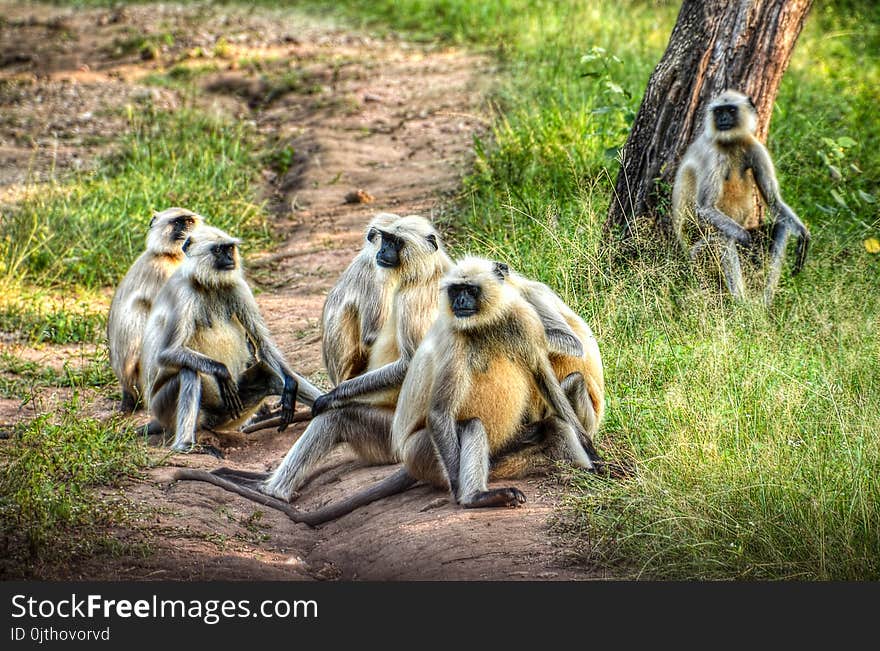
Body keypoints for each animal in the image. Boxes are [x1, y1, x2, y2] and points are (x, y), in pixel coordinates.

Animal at [107, 209, 204, 412]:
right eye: (178, 223)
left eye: (190, 222)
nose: (186, 231)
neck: (168, 255)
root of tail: (127, 388)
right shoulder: (162, 270)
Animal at [143, 227, 322, 450]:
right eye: (218, 250)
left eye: (229, 248)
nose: (230, 259)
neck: (208, 284)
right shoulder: (182, 292)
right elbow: (167, 353)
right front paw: (221, 372)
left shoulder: (238, 287)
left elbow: (263, 345)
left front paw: (290, 385)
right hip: (165, 408)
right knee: (189, 371)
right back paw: (184, 445)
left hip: (228, 414)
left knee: (268, 373)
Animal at [672, 88, 812, 308]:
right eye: (719, 111)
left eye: (730, 109)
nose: (723, 119)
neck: (731, 143)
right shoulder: (713, 154)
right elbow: (705, 208)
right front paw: (746, 240)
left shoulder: (756, 147)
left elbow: (774, 201)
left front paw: (804, 235)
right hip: (696, 249)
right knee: (724, 237)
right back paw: (741, 303)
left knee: (781, 226)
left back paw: (763, 303)